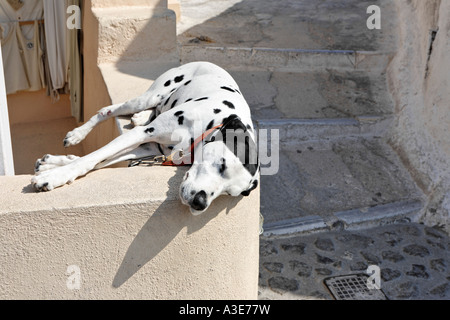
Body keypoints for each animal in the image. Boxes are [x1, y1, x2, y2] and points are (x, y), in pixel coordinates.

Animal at [32, 60, 260, 215]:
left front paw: (52, 166)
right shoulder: (142, 134)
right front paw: (55, 176)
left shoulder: (147, 149)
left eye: (229, 193)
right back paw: (77, 134)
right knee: (107, 110)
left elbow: (97, 161)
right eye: (221, 164)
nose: (200, 203)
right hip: (149, 96)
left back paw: (141, 117)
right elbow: (92, 158)